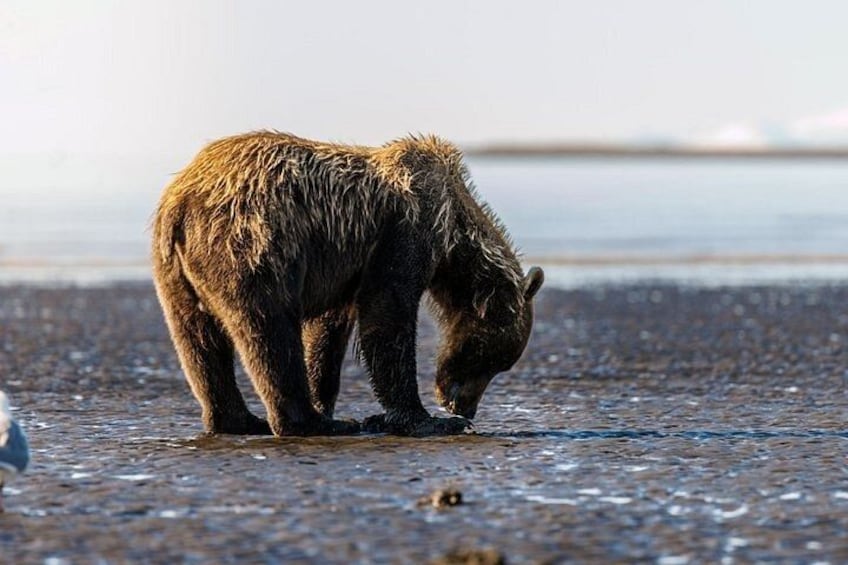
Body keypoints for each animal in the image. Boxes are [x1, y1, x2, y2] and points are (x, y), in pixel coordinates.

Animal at [151, 131, 543, 437]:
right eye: (494, 360)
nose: (464, 408)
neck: (453, 237)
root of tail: (180, 201)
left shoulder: (343, 270)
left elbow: (328, 332)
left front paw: (329, 400)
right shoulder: (404, 230)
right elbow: (388, 314)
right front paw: (424, 420)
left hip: (175, 273)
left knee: (198, 342)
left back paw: (240, 420)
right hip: (251, 244)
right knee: (268, 331)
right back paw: (307, 423)